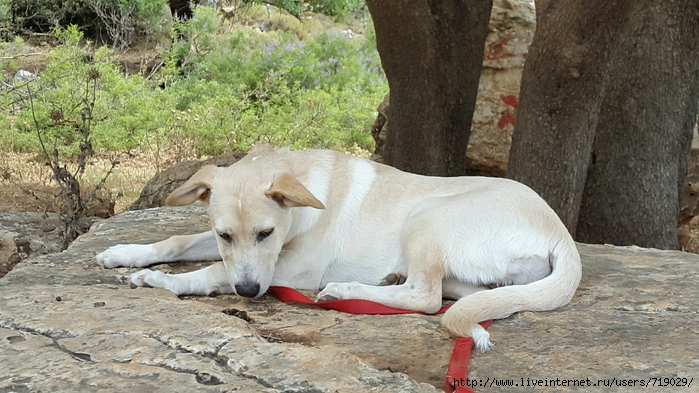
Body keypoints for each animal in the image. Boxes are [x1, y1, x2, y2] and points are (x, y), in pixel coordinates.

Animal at [95, 143, 584, 350]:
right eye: (224, 235)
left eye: (266, 233)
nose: (249, 293)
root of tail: (562, 236)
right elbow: (178, 240)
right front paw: (124, 253)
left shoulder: (294, 269)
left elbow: (213, 273)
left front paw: (159, 280)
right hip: (463, 266)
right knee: (467, 292)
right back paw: (387, 278)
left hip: (427, 217)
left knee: (425, 297)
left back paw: (347, 290)